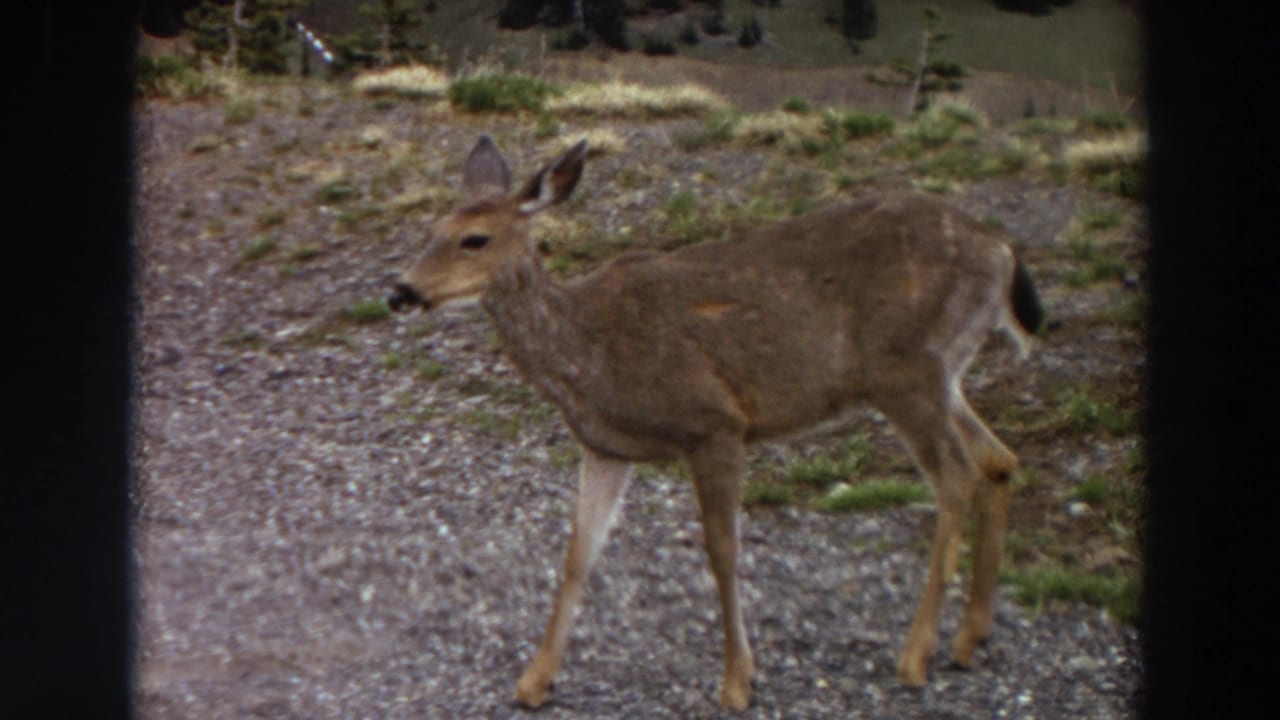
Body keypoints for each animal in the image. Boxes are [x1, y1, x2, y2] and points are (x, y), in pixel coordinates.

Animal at [386, 135, 1044, 711]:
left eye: (475, 239)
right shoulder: (605, 447)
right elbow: (578, 554)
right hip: (943, 375)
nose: (401, 290)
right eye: (429, 230)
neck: (590, 352)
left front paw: (737, 682)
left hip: (906, 371)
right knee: (998, 460)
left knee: (957, 478)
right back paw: (969, 638)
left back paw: (916, 656)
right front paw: (534, 681)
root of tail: (1002, 251)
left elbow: (722, 551)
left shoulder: (715, 423)